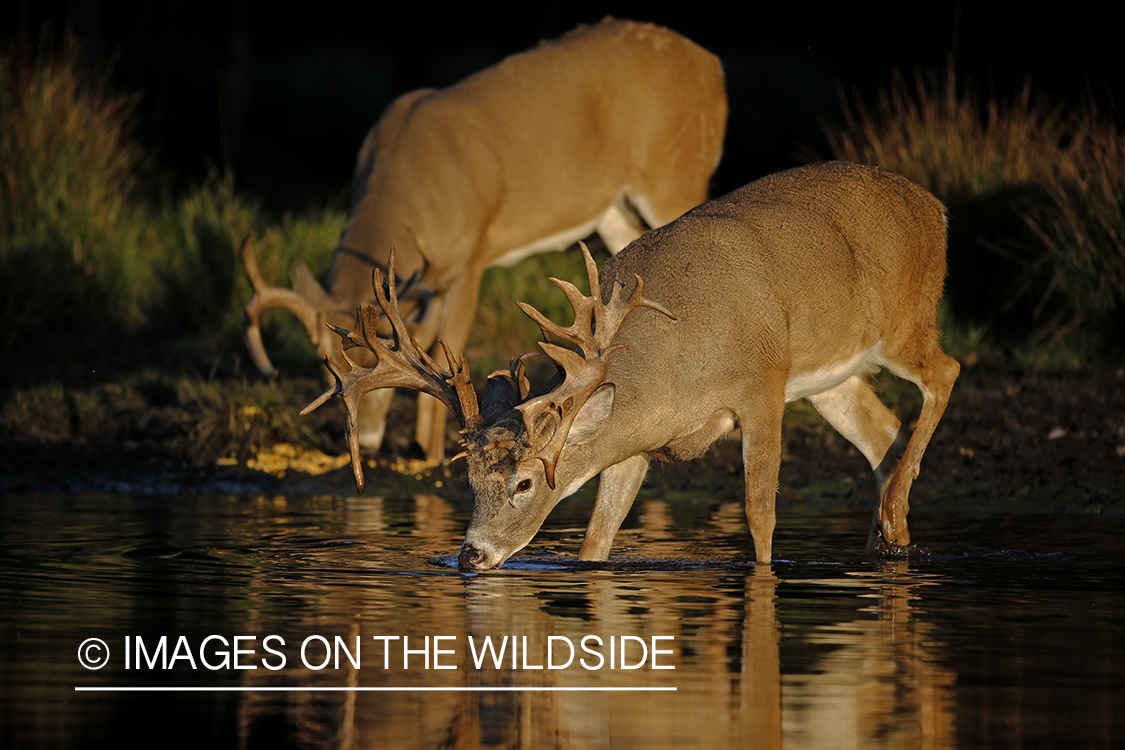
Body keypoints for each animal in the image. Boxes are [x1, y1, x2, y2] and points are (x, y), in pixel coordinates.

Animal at [241, 17, 724, 461]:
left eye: (380, 381)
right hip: (613, 209)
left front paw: (431, 454)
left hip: (675, 173)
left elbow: (447, 347)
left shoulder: (470, 257)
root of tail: (712, 66)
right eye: (330, 371)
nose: (371, 443)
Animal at [306, 159, 958, 568]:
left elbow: (760, 514)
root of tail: (936, 208)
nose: (470, 556)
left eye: (524, 482)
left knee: (944, 373)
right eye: (467, 481)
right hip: (831, 380)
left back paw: (893, 513)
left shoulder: (762, 386)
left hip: (904, 323)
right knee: (883, 431)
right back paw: (889, 537)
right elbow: (597, 539)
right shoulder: (636, 445)